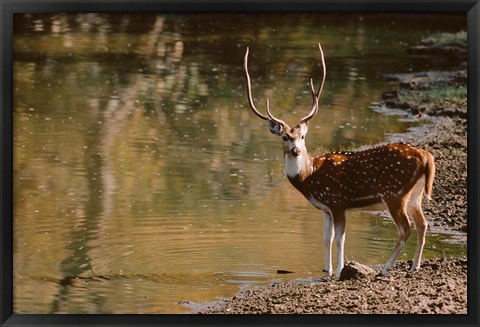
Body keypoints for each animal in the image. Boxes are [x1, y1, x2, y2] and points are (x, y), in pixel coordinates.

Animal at [244, 43, 436, 280]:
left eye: (302, 136)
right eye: (285, 137)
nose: (296, 151)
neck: (309, 177)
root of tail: (426, 157)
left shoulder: (337, 201)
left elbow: (340, 238)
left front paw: (338, 272)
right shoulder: (325, 208)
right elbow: (327, 238)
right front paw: (326, 270)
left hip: (394, 193)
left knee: (406, 228)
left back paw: (384, 268)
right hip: (415, 193)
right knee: (423, 224)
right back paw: (414, 266)